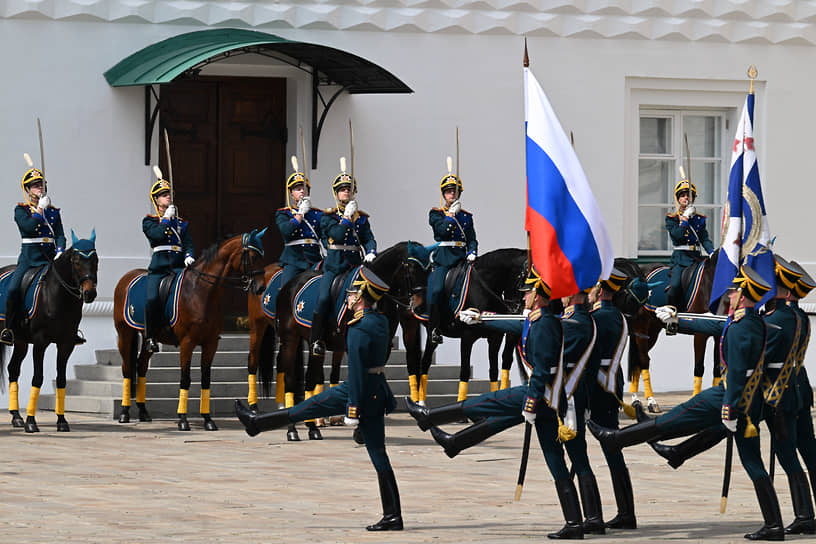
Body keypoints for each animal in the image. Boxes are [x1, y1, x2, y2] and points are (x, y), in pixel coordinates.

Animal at [3, 231, 99, 434]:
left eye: (96, 260)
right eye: (77, 261)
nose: (90, 293)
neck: (58, 297)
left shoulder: (66, 344)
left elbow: (61, 380)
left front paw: (61, 420)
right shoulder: (40, 342)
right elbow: (37, 378)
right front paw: (31, 421)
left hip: (21, 342)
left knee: (13, 369)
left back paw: (16, 417)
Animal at [113, 228, 266, 430]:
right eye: (253, 256)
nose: (261, 287)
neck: (201, 292)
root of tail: (126, 277)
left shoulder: (210, 344)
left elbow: (205, 379)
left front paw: (208, 419)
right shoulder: (187, 343)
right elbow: (185, 379)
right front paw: (183, 419)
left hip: (149, 338)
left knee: (141, 366)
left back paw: (143, 412)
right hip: (125, 333)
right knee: (127, 369)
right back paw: (124, 413)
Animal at [258, 242, 430, 442]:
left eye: (430, 268)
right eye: (412, 267)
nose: (421, 307)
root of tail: (289, 283)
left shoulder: (381, 349)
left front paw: (361, 430)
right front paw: (358, 427)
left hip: (313, 344)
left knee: (310, 379)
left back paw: (312, 428)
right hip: (289, 340)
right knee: (290, 379)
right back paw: (292, 429)